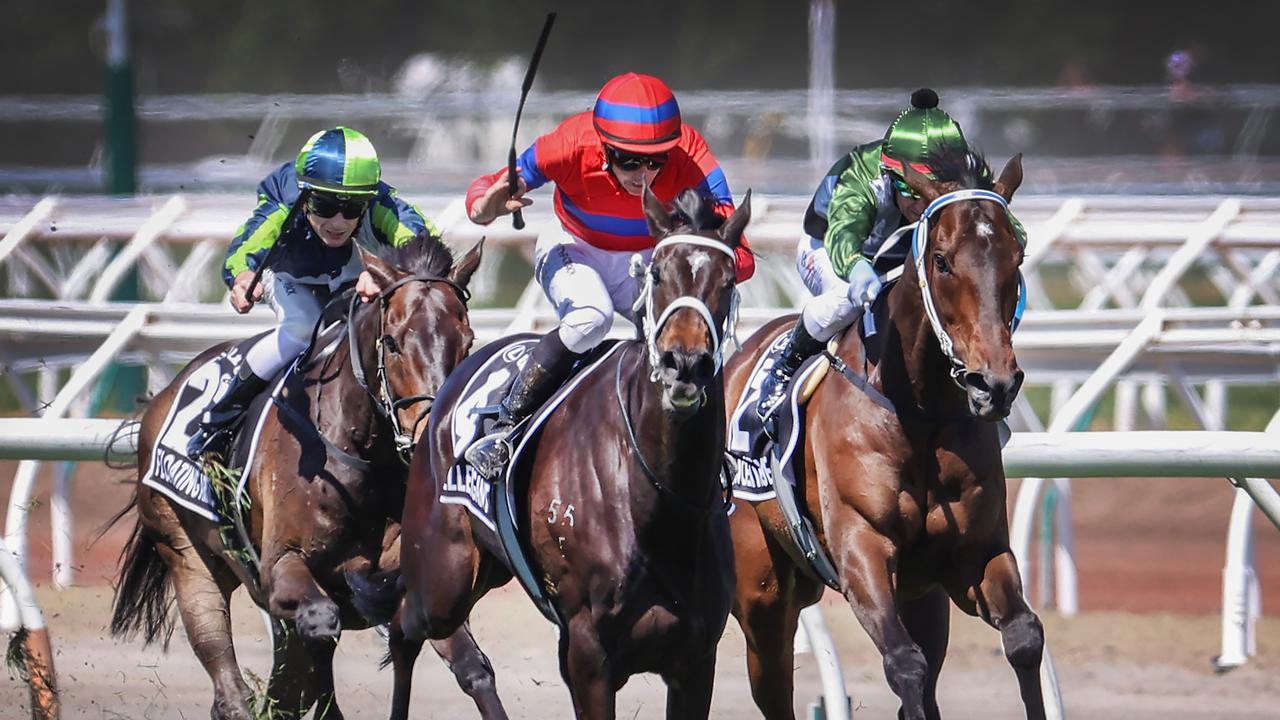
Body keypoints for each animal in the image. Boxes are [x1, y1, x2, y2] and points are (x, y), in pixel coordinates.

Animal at [108, 235, 509, 717]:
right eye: (392, 342)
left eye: (468, 342)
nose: (433, 431)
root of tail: (166, 393)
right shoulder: (282, 565)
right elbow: (319, 632)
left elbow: (471, 666)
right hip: (187, 557)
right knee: (230, 678)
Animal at [389, 188, 747, 712]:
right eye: (658, 273)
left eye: (727, 280)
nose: (684, 363)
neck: (657, 507)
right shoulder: (586, 655)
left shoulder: (696, 662)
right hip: (441, 580)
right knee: (405, 626)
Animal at [727, 152, 1044, 717]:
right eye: (941, 260)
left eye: (1017, 257)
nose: (995, 384)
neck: (919, 413)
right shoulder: (862, 547)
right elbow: (904, 664)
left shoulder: (975, 553)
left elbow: (1024, 636)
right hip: (761, 591)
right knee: (774, 687)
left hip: (922, 596)